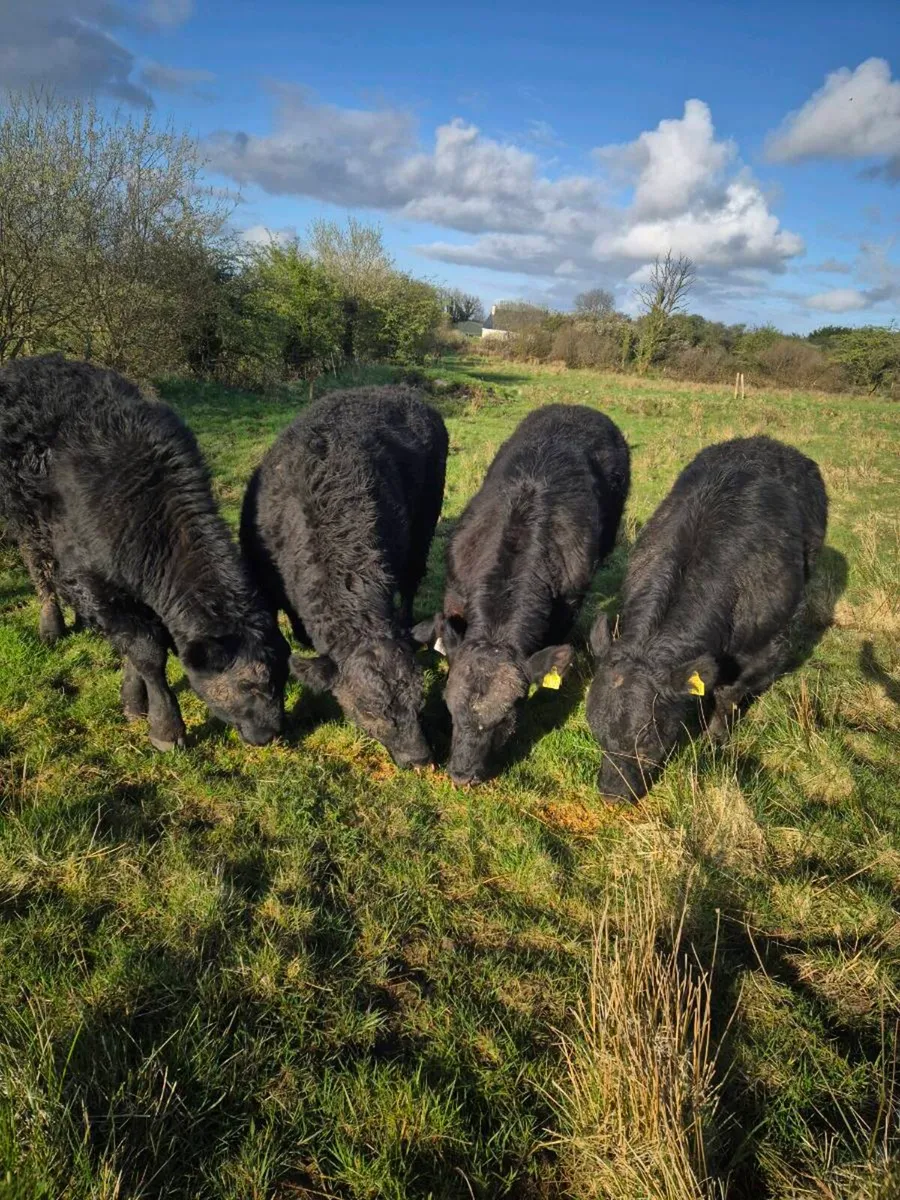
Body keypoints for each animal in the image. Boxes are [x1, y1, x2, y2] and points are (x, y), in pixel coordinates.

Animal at [0, 354, 288, 750]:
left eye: (285, 673)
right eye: (248, 685)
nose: (272, 732)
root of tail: (32, 362)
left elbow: (133, 647)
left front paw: (133, 702)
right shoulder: (91, 577)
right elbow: (147, 651)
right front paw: (165, 727)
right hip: (24, 517)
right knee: (37, 565)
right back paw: (51, 625)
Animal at [587, 435, 828, 802]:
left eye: (647, 739)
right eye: (597, 733)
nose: (612, 794)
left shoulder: (767, 648)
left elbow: (729, 696)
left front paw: (714, 742)